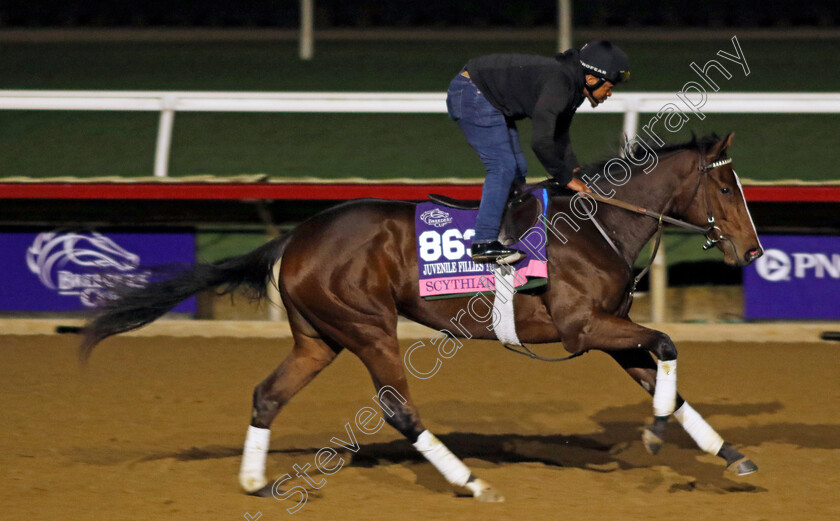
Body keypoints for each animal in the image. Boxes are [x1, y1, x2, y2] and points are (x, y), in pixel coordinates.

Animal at [82, 132, 764, 502]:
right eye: (725, 188)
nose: (754, 250)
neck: (598, 225)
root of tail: (296, 237)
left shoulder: (608, 332)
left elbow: (666, 379)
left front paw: (728, 453)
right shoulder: (584, 327)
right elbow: (668, 344)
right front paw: (654, 434)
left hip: (318, 338)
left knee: (267, 394)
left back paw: (253, 481)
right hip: (367, 327)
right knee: (399, 410)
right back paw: (472, 481)